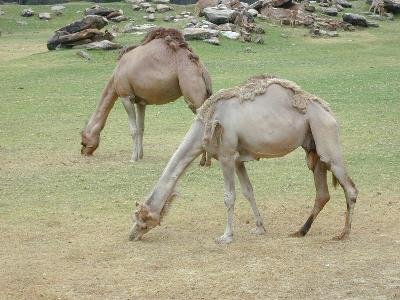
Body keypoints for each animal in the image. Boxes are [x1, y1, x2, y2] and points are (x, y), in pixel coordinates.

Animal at [80, 27, 212, 162]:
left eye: (83, 141)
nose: (83, 152)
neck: (116, 74)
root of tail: (198, 65)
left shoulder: (126, 96)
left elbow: (133, 130)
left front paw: (133, 158)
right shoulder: (140, 101)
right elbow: (140, 128)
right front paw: (140, 156)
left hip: (191, 89)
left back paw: (203, 160)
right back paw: (205, 161)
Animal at [130, 74, 358, 244]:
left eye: (141, 218)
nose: (131, 235)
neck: (206, 121)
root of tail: (330, 113)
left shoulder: (226, 155)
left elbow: (229, 196)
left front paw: (226, 236)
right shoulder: (238, 159)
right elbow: (248, 191)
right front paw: (259, 228)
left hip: (325, 136)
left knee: (350, 187)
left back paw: (343, 234)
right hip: (313, 146)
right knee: (322, 193)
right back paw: (300, 231)